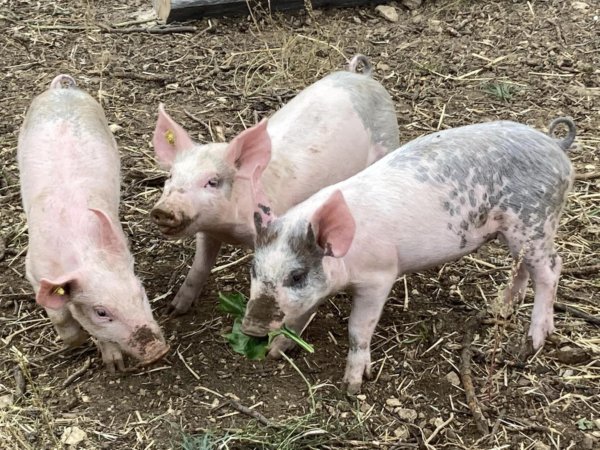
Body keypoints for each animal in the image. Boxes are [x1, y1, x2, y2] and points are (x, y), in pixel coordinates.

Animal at [18, 74, 169, 372]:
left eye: (141, 292)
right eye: (101, 312)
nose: (158, 350)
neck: (81, 251)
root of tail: (61, 88)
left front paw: (115, 367)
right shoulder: (34, 271)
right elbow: (60, 315)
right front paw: (76, 345)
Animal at [150, 55, 399, 315]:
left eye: (212, 181)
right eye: (170, 176)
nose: (164, 210)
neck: (228, 228)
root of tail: (363, 76)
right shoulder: (208, 232)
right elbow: (199, 266)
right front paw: (173, 310)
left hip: (389, 138)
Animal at [242, 118, 575, 393]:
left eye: (296, 275)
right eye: (254, 270)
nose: (251, 327)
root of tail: (555, 145)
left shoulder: (379, 277)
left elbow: (358, 329)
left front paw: (352, 387)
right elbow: (301, 315)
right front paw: (275, 352)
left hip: (535, 221)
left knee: (552, 268)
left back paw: (534, 341)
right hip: (517, 232)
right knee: (523, 267)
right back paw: (499, 308)